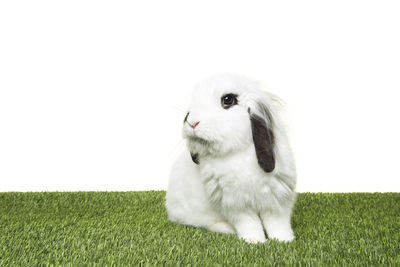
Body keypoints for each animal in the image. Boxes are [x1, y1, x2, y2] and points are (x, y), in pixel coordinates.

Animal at [164, 74, 296, 244]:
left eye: (228, 99)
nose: (191, 121)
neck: (238, 152)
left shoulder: (277, 200)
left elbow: (278, 223)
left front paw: (284, 240)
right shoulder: (236, 205)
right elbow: (250, 224)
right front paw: (255, 241)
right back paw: (227, 228)